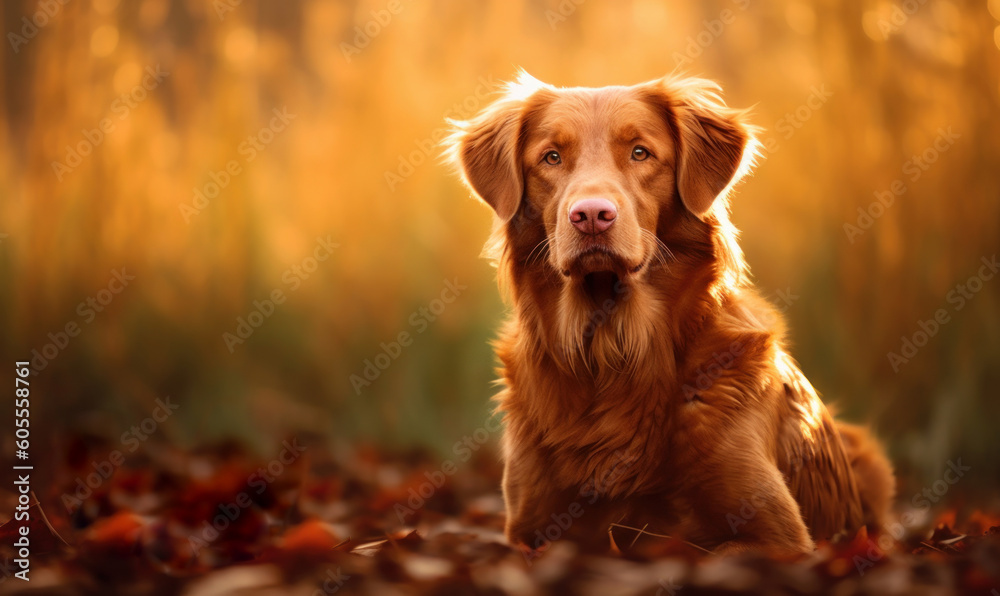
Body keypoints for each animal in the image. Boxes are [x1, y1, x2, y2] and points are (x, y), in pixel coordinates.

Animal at [448, 73, 900, 556]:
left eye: (640, 152)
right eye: (551, 157)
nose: (591, 215)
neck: (611, 350)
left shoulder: (776, 534)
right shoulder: (530, 531)